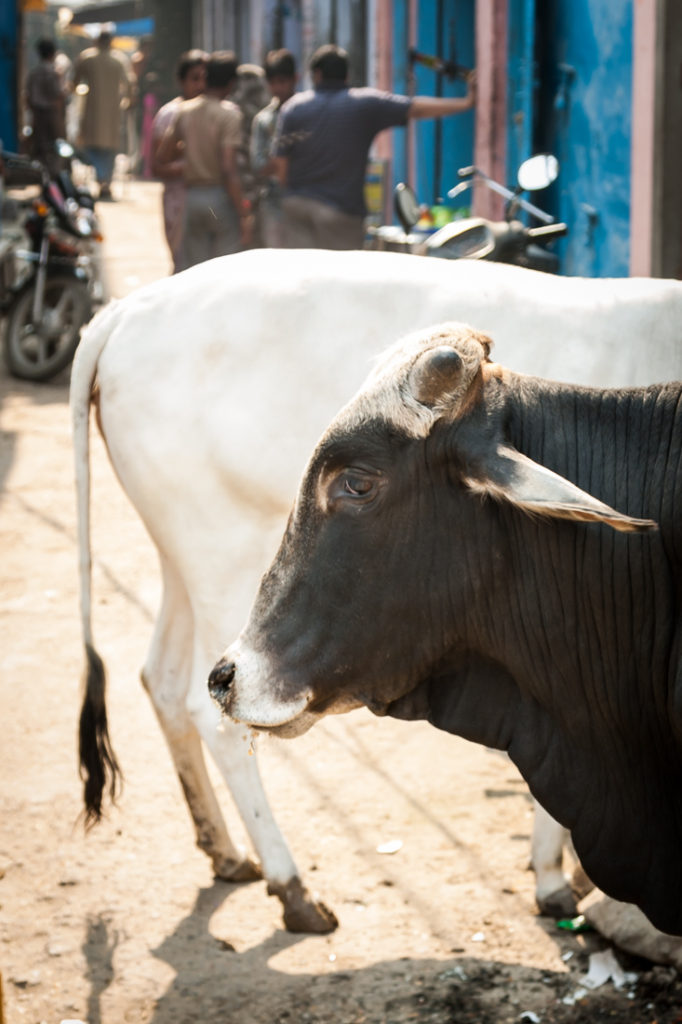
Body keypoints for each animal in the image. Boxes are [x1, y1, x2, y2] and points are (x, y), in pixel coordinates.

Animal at [70, 245, 682, 929]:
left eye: (356, 482)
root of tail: (125, 311)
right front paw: (552, 876)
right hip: (220, 560)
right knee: (209, 711)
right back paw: (291, 885)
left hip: (183, 562)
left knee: (163, 681)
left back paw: (224, 849)